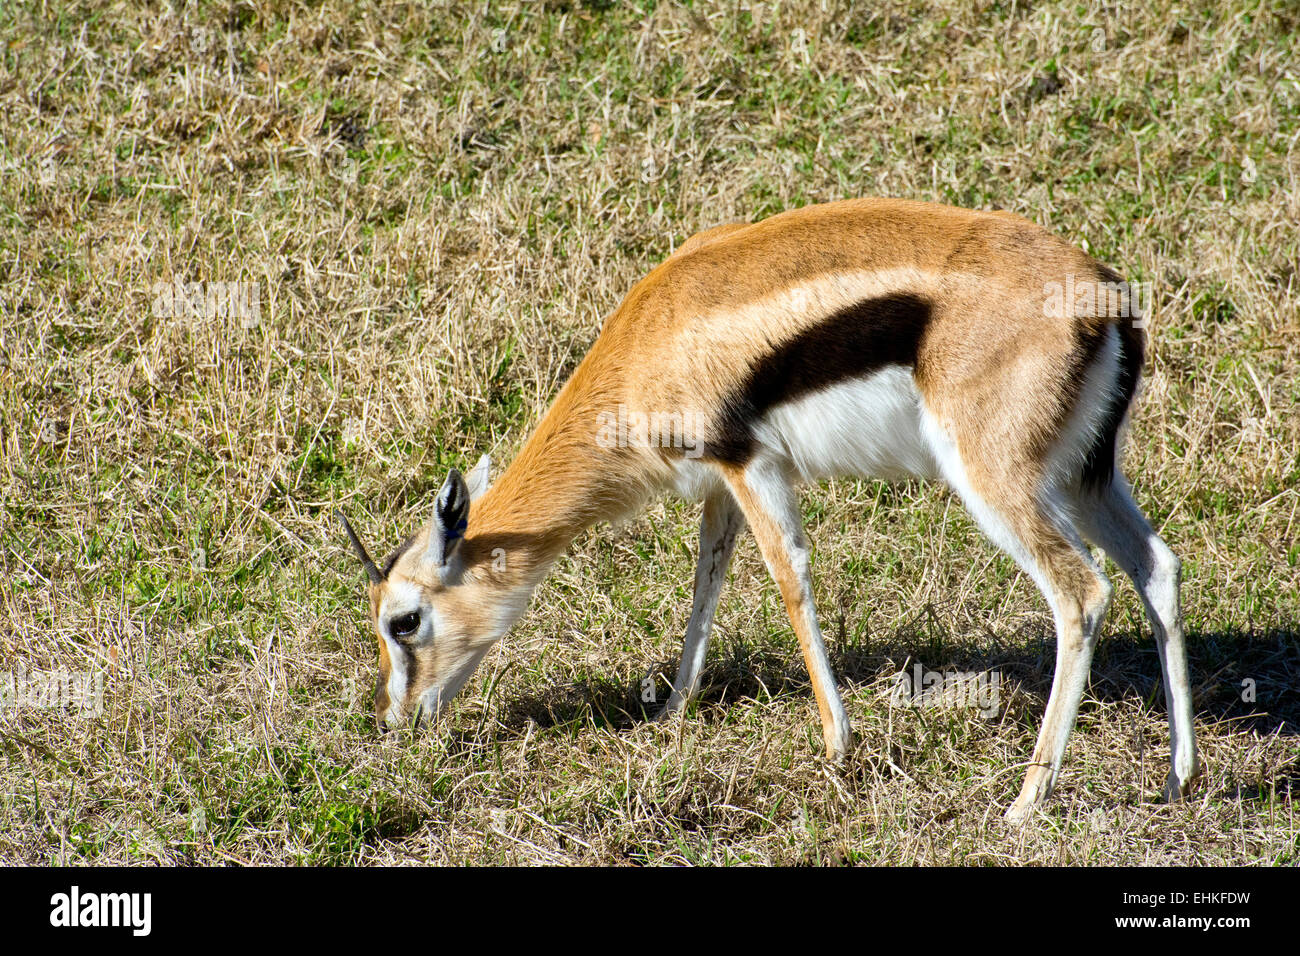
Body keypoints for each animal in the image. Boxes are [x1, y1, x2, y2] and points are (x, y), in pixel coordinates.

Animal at [339, 197, 1199, 821]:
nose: (393, 718)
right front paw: (671, 713)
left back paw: (1026, 802)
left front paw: (837, 747)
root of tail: (1105, 297)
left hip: (1000, 484)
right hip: (1087, 477)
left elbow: (789, 582)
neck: (656, 333)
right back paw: (1180, 777)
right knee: (1157, 567)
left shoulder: (752, 465)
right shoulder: (721, 482)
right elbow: (706, 585)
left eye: (404, 621)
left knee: (1082, 593)